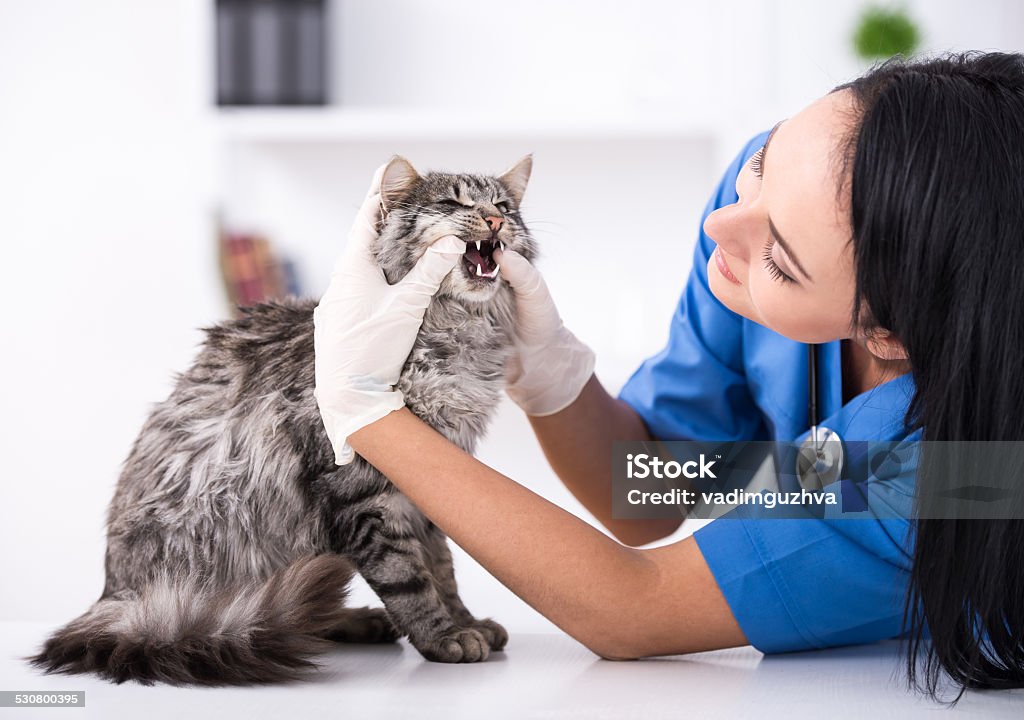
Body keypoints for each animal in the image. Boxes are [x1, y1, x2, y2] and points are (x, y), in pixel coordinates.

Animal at [29, 154, 540, 684]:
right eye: (453, 203)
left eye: (503, 207)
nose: (495, 221)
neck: (455, 337)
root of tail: (115, 604)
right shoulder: (363, 493)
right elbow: (410, 579)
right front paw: (443, 636)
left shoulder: (430, 485)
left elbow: (443, 569)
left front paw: (467, 622)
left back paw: (353, 620)